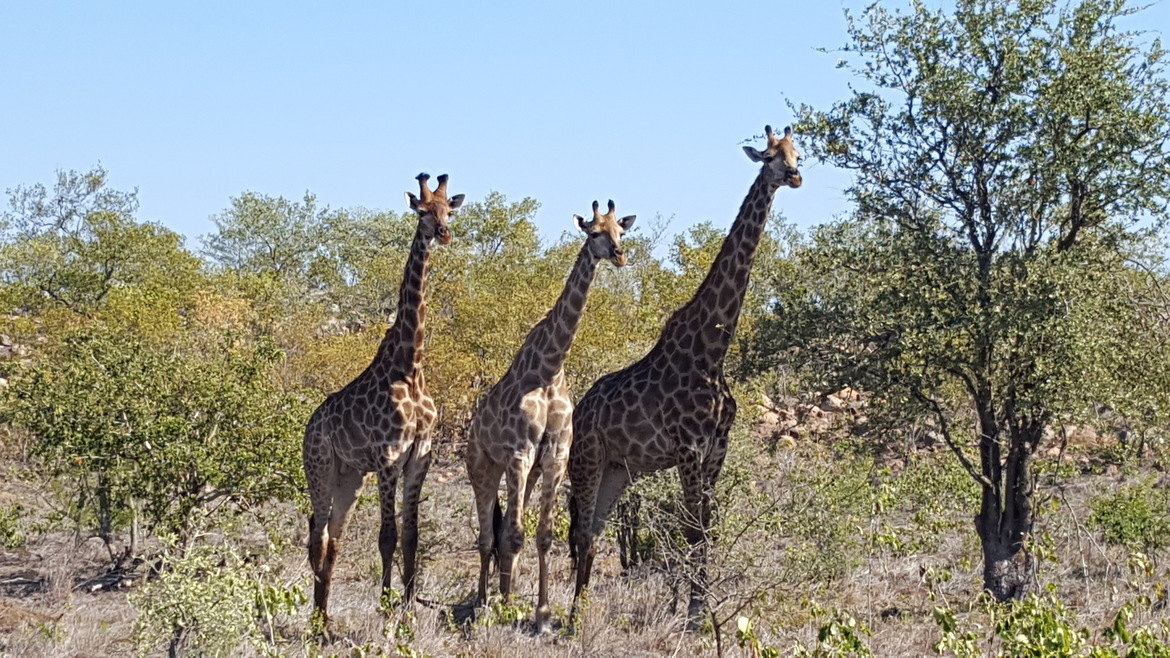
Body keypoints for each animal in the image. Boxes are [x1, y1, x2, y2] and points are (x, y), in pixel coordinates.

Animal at [303, 173, 464, 623]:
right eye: (421, 211)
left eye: (448, 210)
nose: (442, 233)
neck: (410, 366)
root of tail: (308, 427)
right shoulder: (389, 458)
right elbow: (387, 536)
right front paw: (386, 607)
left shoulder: (420, 456)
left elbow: (411, 535)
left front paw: (408, 608)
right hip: (320, 470)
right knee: (316, 534)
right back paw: (316, 622)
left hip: (350, 477)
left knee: (333, 537)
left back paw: (325, 621)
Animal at [465, 200, 634, 632]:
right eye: (594, 232)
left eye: (620, 232)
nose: (619, 255)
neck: (549, 369)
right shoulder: (519, 454)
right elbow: (514, 534)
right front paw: (506, 608)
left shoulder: (554, 458)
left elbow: (541, 535)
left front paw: (541, 615)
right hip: (483, 465)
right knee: (487, 536)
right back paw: (484, 602)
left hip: (526, 472)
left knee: (503, 531)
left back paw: (504, 595)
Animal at [567, 126, 802, 622]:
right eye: (769, 156)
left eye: (798, 153)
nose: (794, 176)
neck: (711, 351)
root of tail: (578, 411)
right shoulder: (690, 450)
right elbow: (692, 530)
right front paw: (695, 616)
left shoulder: (716, 449)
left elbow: (706, 530)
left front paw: (702, 608)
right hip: (586, 459)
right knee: (579, 530)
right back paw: (569, 616)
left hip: (619, 470)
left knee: (593, 528)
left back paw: (580, 612)